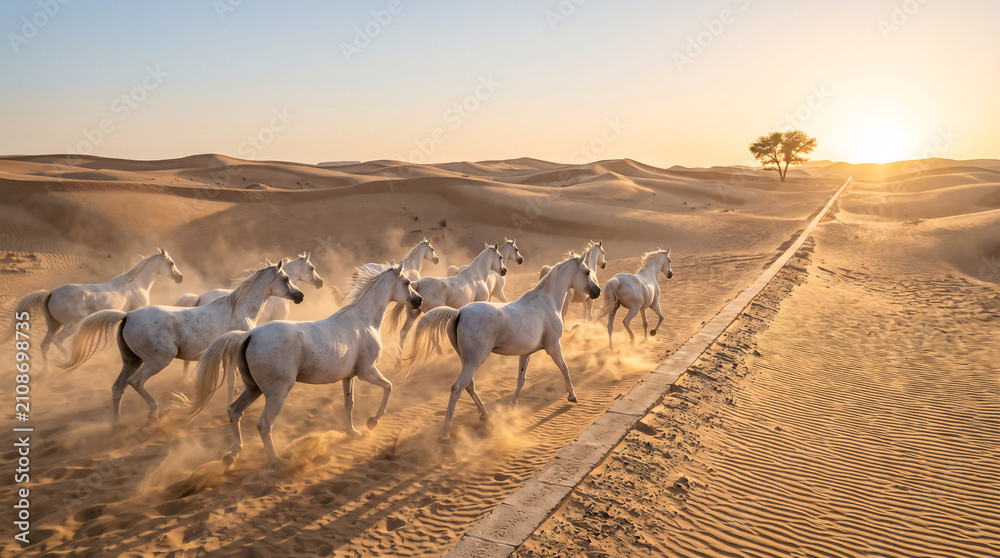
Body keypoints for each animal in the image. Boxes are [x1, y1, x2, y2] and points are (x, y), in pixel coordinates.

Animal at [3, 249, 184, 370]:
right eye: (171, 263)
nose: (180, 277)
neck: (135, 285)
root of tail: (51, 293)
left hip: (54, 325)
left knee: (45, 344)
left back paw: (46, 372)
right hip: (71, 325)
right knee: (57, 341)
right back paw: (68, 361)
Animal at [60, 261, 304, 426]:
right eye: (286, 279)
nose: (300, 296)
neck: (239, 310)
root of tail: (127, 316)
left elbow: (231, 383)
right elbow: (232, 383)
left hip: (131, 360)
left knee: (117, 387)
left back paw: (117, 423)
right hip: (158, 360)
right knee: (135, 382)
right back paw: (156, 412)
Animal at [185, 262, 422, 470]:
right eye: (407, 282)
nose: (418, 301)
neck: (362, 321)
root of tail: (249, 335)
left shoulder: (349, 377)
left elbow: (349, 404)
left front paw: (353, 432)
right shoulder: (367, 372)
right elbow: (388, 387)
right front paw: (372, 421)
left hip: (253, 388)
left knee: (234, 411)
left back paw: (232, 455)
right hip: (277, 392)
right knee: (264, 424)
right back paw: (277, 462)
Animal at [405, 253, 601, 442]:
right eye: (587, 272)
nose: (597, 291)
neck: (547, 302)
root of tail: (459, 313)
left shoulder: (526, 353)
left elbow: (521, 379)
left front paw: (513, 406)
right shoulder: (553, 347)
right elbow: (564, 368)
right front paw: (572, 396)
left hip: (467, 361)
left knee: (469, 385)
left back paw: (484, 413)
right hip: (474, 361)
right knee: (457, 388)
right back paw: (446, 432)